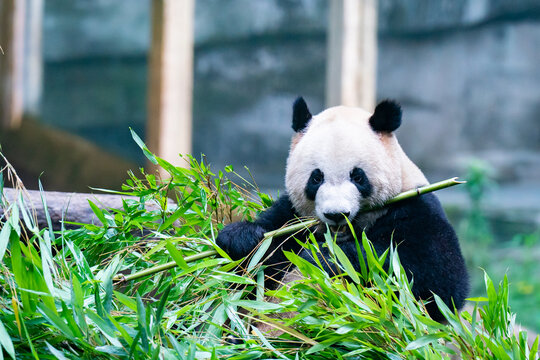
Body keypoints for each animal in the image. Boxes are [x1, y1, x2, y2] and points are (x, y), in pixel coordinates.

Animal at [215, 96, 468, 320]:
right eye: (316, 178)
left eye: (357, 176)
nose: (336, 214)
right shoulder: (292, 216)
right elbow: (244, 272)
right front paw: (242, 239)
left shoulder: (415, 207)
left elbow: (434, 277)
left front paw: (322, 258)